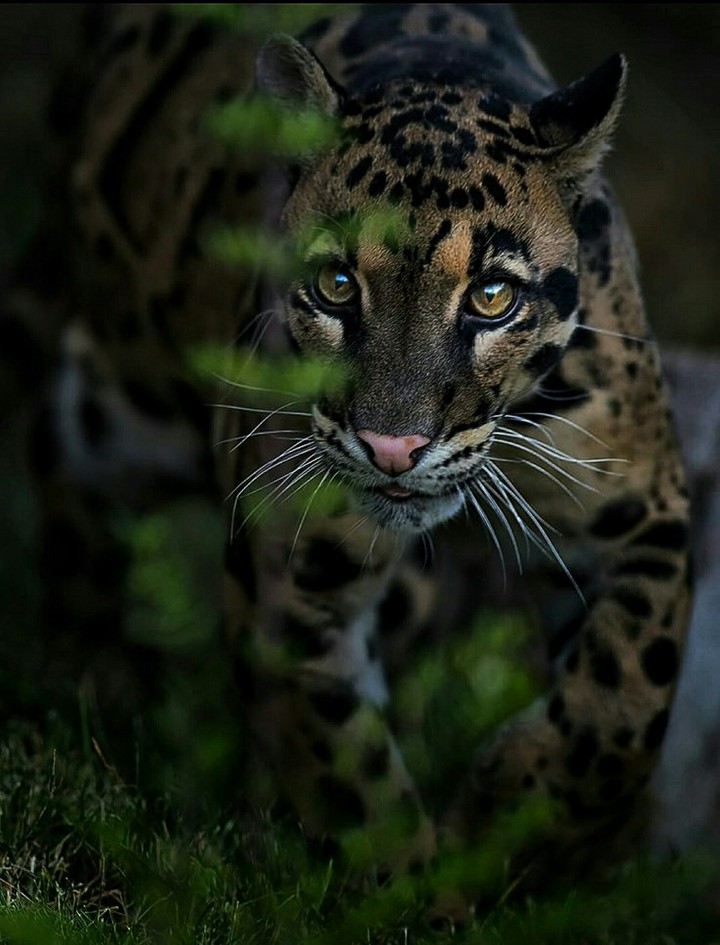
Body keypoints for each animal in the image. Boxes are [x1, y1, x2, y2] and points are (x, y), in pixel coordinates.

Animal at [1, 1, 692, 918]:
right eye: (334, 285)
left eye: (492, 297)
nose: (393, 445)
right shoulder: (293, 567)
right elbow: (341, 761)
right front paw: (412, 899)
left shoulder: (644, 507)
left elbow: (627, 698)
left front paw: (507, 818)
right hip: (98, 395)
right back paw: (93, 676)